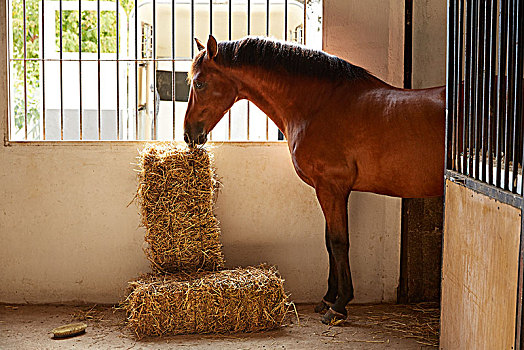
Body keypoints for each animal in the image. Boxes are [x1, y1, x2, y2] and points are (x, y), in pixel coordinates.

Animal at [182, 34, 444, 324]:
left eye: (199, 83)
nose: (189, 134)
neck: (319, 105)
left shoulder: (331, 188)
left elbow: (339, 243)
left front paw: (339, 305)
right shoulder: (328, 190)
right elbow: (329, 242)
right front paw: (328, 298)